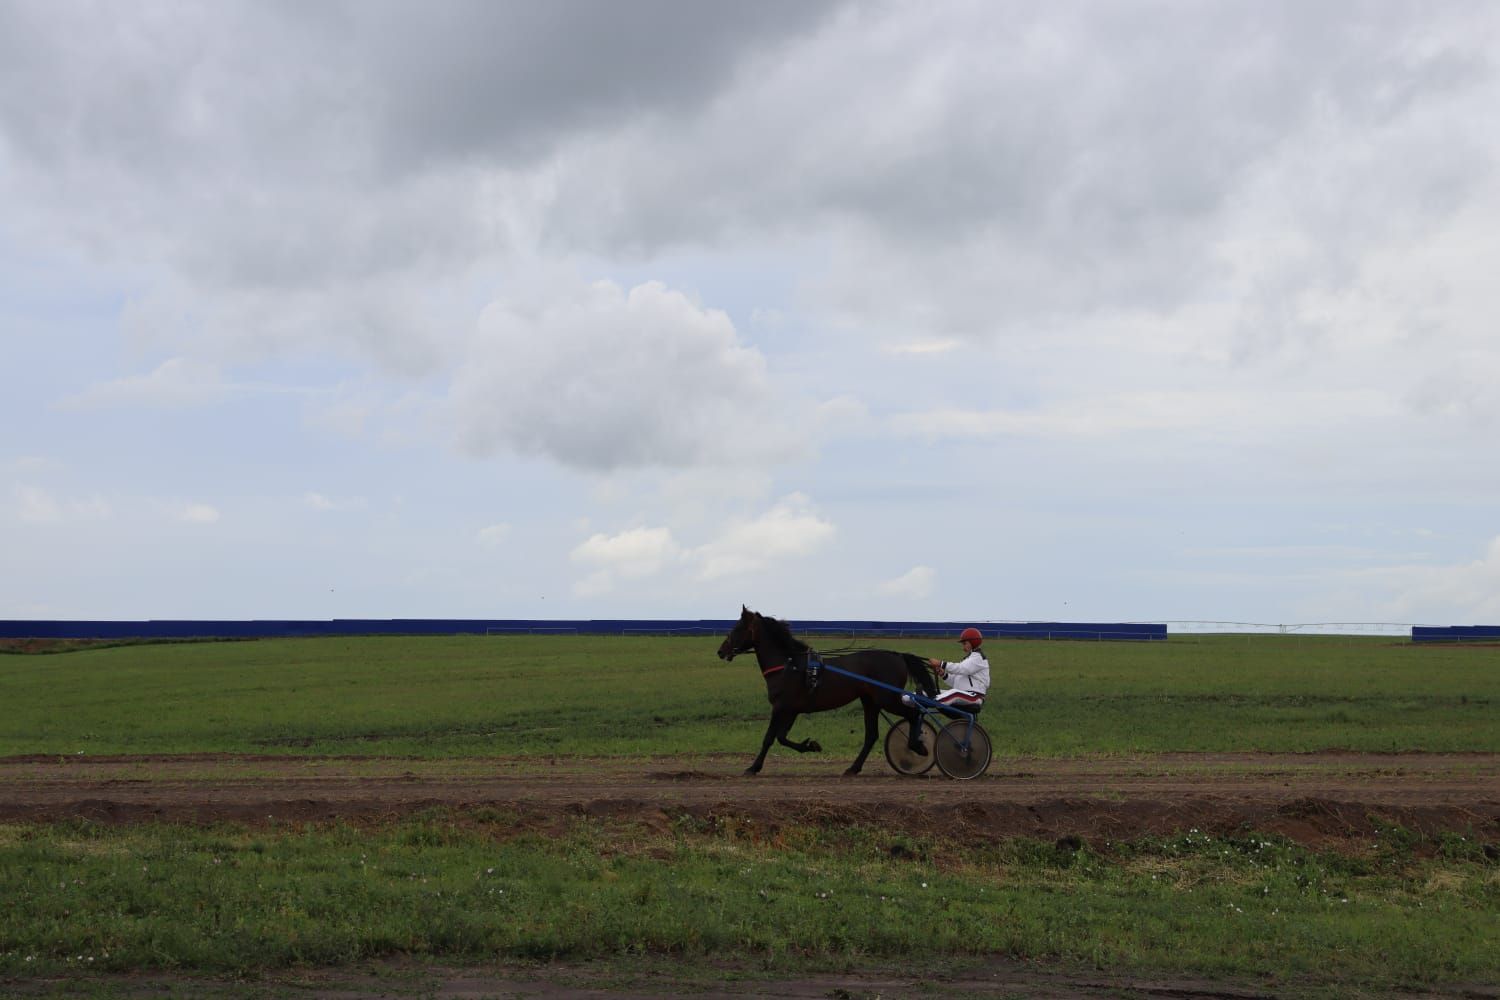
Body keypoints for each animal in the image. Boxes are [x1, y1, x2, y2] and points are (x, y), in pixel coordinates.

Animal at [714, 605, 936, 779]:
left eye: (737, 628)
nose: (721, 651)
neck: (789, 665)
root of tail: (897, 655)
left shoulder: (780, 707)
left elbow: (769, 738)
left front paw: (753, 767)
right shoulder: (791, 710)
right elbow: (781, 737)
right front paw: (810, 745)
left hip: (887, 698)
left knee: (914, 713)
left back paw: (917, 746)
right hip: (870, 701)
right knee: (872, 735)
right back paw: (853, 768)